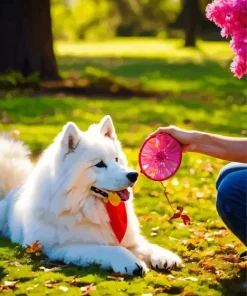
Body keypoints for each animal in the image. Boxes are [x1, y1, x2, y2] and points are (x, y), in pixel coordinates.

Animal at [0, 115, 181, 276]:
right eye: (99, 164)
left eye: (116, 159)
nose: (133, 175)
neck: (88, 206)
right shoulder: (64, 247)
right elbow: (111, 249)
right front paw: (130, 262)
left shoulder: (130, 239)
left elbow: (147, 245)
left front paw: (164, 256)